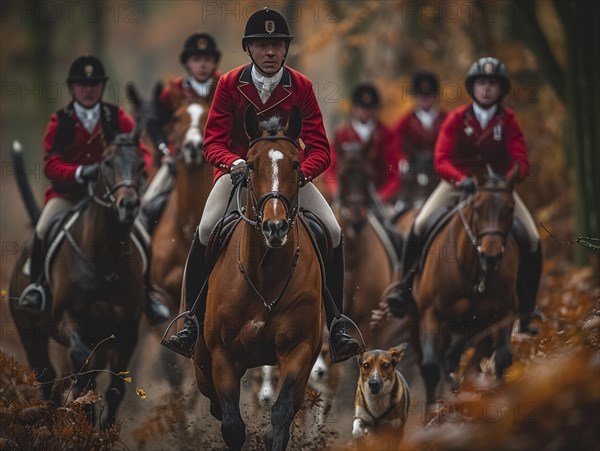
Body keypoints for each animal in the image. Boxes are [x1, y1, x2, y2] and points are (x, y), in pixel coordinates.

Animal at [9, 133, 148, 428]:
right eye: (106, 162)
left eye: (141, 164)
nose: (129, 206)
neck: (105, 261)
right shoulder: (68, 320)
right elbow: (83, 369)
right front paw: (85, 414)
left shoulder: (127, 331)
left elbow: (115, 387)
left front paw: (104, 428)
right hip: (30, 332)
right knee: (47, 376)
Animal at [193, 107, 324, 451]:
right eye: (250, 164)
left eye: (296, 164)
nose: (274, 227)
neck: (265, 274)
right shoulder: (223, 354)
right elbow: (232, 425)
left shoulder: (298, 349)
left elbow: (280, 416)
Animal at [412, 169, 520, 416]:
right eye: (478, 208)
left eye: (511, 209)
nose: (491, 257)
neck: (473, 273)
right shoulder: (431, 314)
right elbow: (431, 367)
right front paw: (431, 415)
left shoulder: (504, 314)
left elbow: (501, 357)